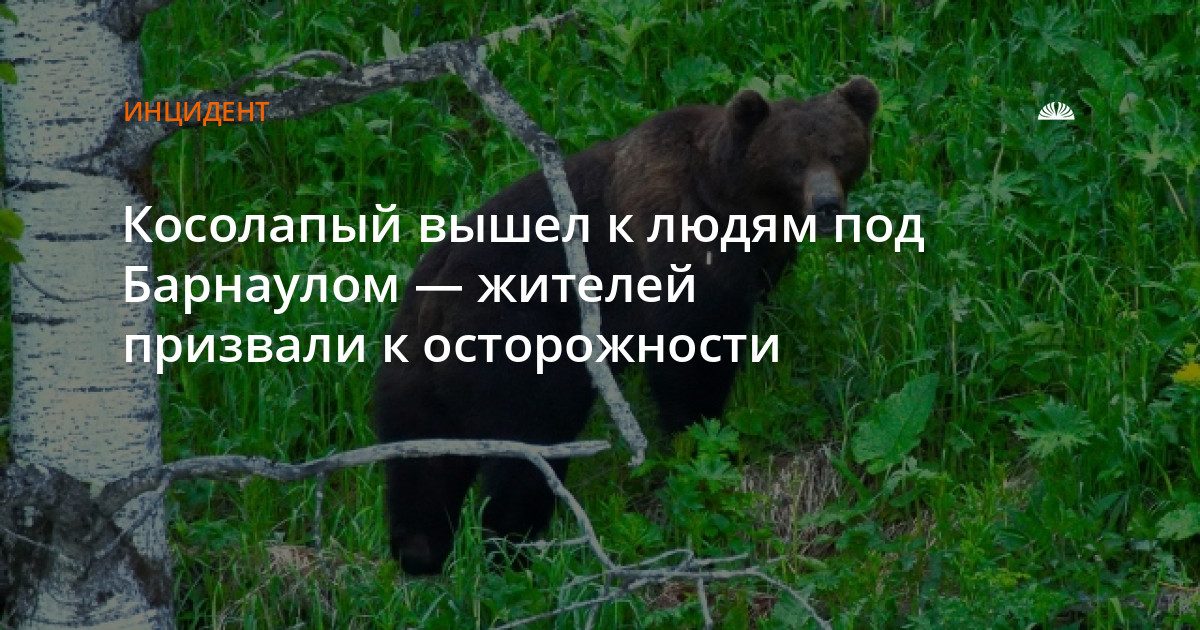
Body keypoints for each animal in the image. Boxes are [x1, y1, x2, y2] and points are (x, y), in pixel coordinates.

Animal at [374, 77, 879, 575]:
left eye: (839, 153)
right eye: (794, 161)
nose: (828, 205)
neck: (736, 202)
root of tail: (434, 305)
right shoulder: (675, 249)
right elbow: (692, 356)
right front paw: (703, 439)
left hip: (411, 374)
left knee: (421, 472)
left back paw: (421, 556)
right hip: (513, 347)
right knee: (531, 448)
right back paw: (518, 547)